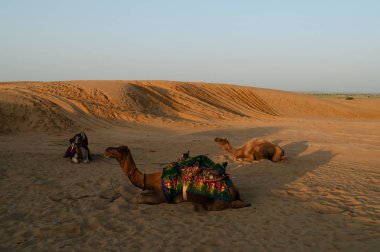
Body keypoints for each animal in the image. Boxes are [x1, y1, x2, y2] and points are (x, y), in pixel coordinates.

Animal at [104, 146, 252, 211]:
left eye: (119, 149)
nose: (107, 150)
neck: (152, 179)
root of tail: (234, 189)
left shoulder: (162, 196)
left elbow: (139, 198)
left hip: (220, 201)